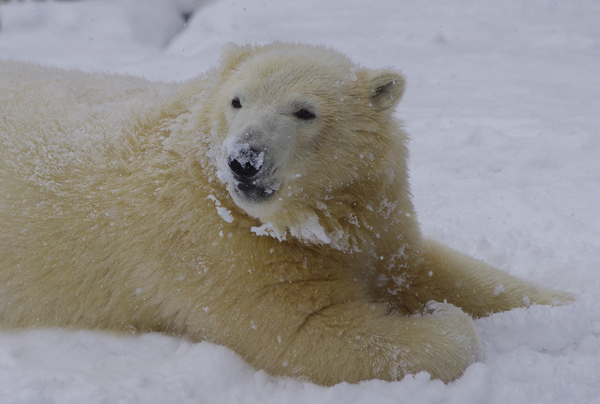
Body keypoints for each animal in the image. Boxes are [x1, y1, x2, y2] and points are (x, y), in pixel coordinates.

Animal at [0, 43, 572, 386]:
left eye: (305, 111)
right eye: (237, 100)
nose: (243, 160)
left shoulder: (375, 215)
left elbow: (422, 265)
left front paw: (563, 304)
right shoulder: (218, 247)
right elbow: (305, 331)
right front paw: (440, 317)